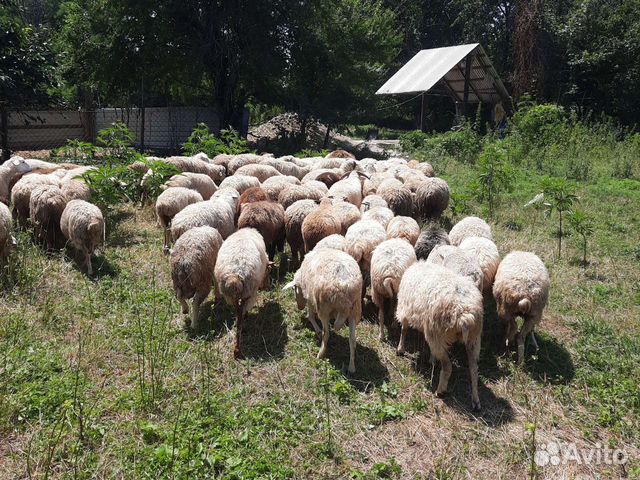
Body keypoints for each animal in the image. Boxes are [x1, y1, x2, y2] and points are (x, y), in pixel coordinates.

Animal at [212, 227, 268, 358]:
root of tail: (235, 276)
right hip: (248, 292)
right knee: (241, 315)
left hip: (231, 296)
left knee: (238, 316)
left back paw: (236, 349)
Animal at [284, 246, 362, 374]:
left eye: (294, 288)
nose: (299, 307)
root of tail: (346, 286)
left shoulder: (310, 295)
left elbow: (310, 314)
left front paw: (317, 329)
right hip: (355, 309)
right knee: (352, 340)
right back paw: (352, 367)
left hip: (324, 308)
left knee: (327, 333)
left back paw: (321, 353)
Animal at [396, 262, 484, 412]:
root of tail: (465, 314)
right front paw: (432, 360)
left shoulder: (405, 310)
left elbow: (404, 330)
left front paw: (400, 349)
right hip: (473, 338)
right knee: (474, 369)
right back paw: (476, 400)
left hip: (438, 334)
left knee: (448, 366)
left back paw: (440, 391)